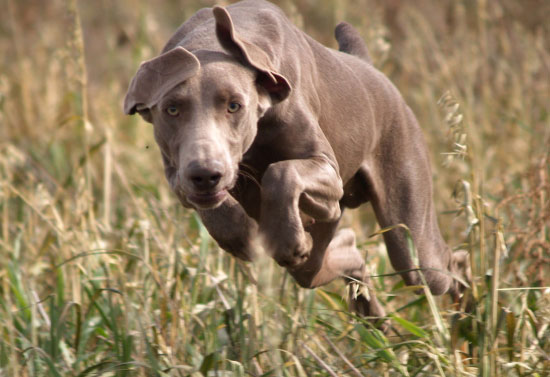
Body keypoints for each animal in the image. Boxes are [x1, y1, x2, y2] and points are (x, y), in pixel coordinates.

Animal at [124, 0, 470, 318]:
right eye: (171, 109)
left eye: (235, 105)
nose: (207, 174)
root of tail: (368, 67)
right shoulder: (177, 175)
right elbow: (212, 207)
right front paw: (240, 233)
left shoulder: (327, 173)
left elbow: (282, 173)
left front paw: (287, 238)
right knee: (343, 254)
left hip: (409, 232)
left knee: (447, 265)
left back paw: (467, 316)